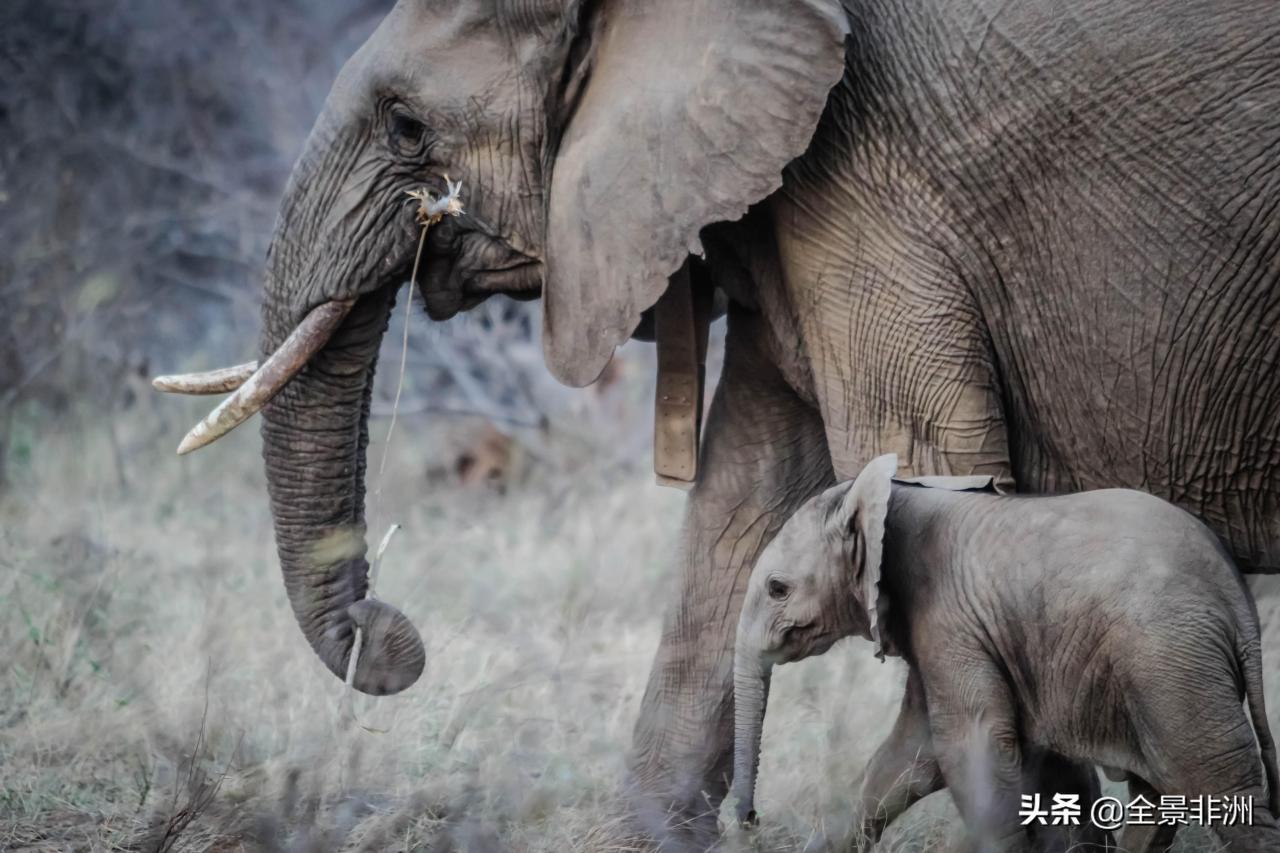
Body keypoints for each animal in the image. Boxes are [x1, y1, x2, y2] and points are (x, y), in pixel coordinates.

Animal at [732, 448, 1280, 845]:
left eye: (778, 589)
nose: (750, 819)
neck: (889, 496)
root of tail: (1236, 599)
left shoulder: (950, 619)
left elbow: (970, 750)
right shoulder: (947, 632)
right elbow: (908, 758)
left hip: (1171, 666)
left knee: (1222, 788)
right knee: (1160, 796)